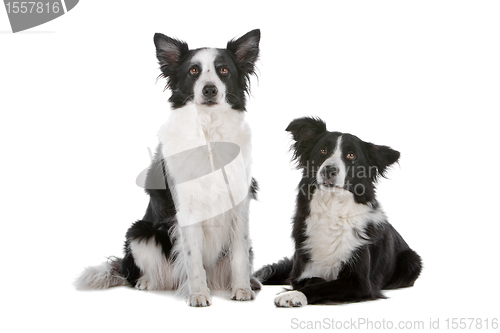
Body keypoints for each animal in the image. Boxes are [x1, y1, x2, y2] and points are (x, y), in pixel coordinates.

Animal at [76, 29, 262, 304]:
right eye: (193, 71)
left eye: (224, 70)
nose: (209, 90)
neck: (208, 130)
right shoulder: (187, 210)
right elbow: (193, 259)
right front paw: (198, 295)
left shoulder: (239, 206)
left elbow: (239, 255)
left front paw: (241, 289)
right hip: (140, 233)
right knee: (143, 272)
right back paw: (146, 281)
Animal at [254, 116, 422, 306]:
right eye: (323, 150)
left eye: (351, 155)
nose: (329, 169)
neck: (332, 208)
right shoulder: (300, 272)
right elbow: (312, 280)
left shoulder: (360, 283)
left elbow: (324, 286)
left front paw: (294, 295)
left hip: (411, 262)